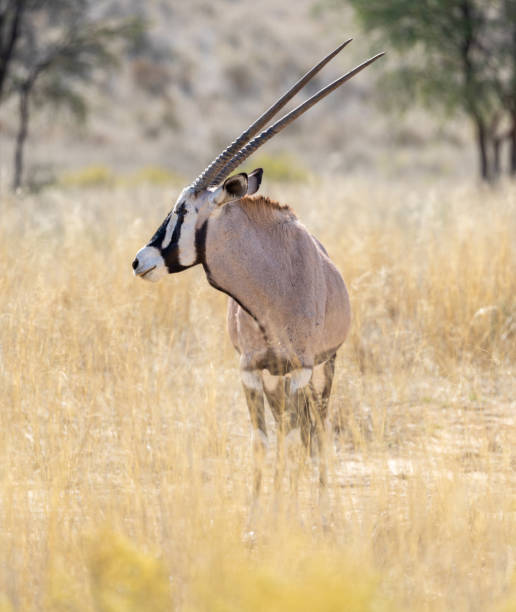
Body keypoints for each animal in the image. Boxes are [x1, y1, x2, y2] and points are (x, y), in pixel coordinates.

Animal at [133, 43, 382, 510]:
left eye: (182, 211)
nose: (140, 261)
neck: (272, 283)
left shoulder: (301, 369)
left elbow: (297, 437)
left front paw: (292, 504)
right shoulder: (250, 370)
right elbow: (263, 441)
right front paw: (258, 509)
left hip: (324, 368)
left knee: (316, 428)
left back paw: (320, 495)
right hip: (275, 378)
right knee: (290, 428)